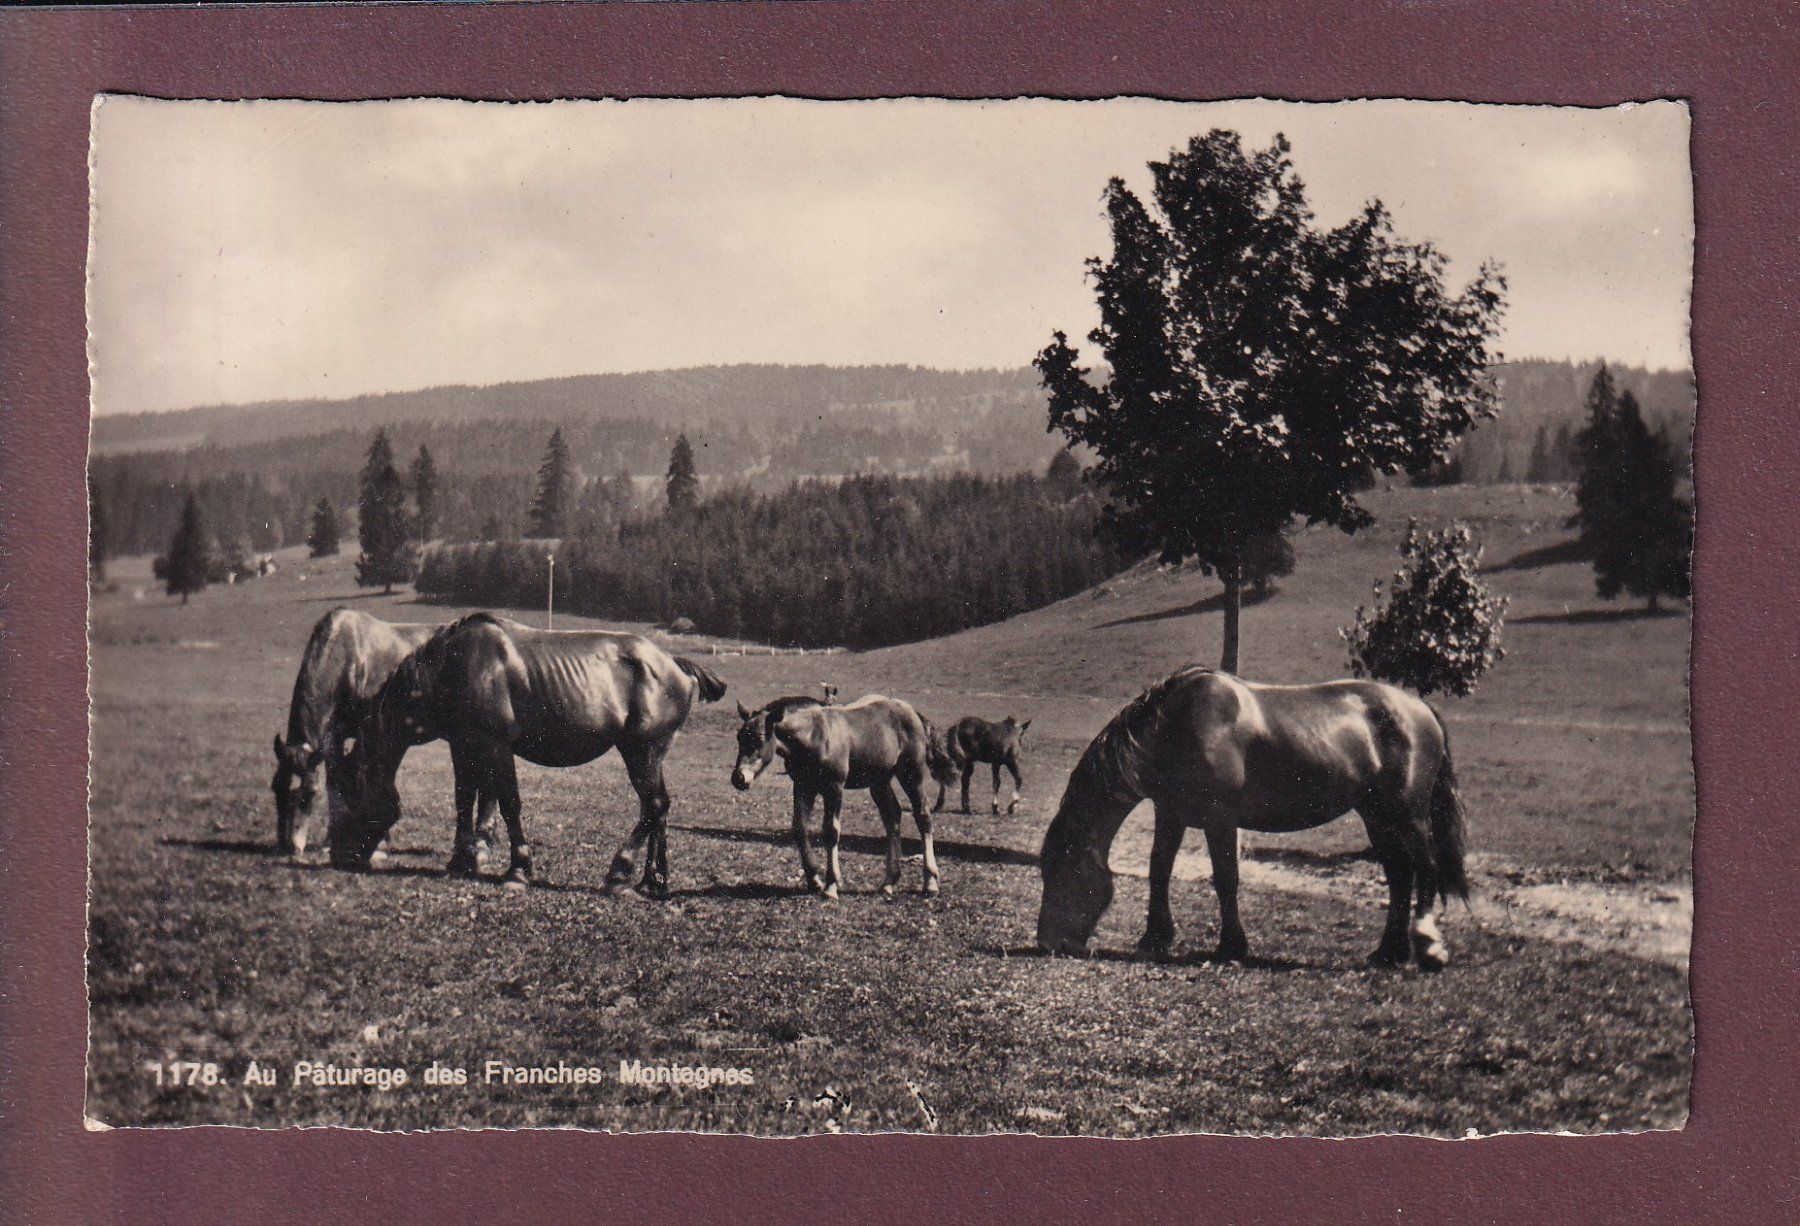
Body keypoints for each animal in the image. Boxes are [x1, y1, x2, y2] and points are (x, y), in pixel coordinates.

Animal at [270, 607, 497, 860]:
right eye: (276, 789)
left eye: (308, 794)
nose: (288, 847)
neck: (349, 658)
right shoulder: (334, 737)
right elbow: (336, 783)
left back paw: (482, 843)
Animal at [336, 612, 727, 897]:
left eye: (353, 792)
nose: (343, 857)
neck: (452, 667)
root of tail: (673, 664)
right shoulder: (462, 746)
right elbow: (463, 799)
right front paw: (461, 860)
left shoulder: (496, 746)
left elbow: (509, 803)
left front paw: (518, 869)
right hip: (650, 754)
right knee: (659, 808)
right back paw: (652, 880)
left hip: (641, 751)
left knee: (654, 807)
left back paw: (619, 873)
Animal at [731, 694, 953, 898]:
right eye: (739, 738)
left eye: (759, 739)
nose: (738, 778)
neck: (814, 736)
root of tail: (914, 713)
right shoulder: (803, 787)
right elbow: (799, 829)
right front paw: (814, 879)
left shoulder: (834, 788)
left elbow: (831, 831)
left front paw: (831, 884)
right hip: (879, 782)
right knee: (892, 817)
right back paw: (889, 882)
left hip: (911, 776)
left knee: (923, 817)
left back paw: (930, 883)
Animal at [1035, 666, 1469, 970]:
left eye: (1061, 870)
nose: (1047, 942)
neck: (1178, 725)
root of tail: (1419, 710)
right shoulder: (1171, 813)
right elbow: (1159, 870)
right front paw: (1153, 940)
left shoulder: (1220, 819)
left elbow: (1226, 879)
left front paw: (1231, 946)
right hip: (1377, 816)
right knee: (1399, 875)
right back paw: (1388, 952)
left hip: (1408, 812)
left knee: (1425, 868)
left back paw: (1427, 946)